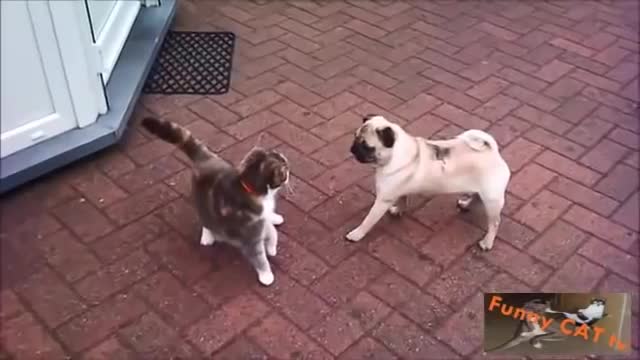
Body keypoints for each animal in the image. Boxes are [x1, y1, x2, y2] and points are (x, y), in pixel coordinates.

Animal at [142, 116, 290, 286]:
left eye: (282, 158)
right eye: (284, 171)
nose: (288, 165)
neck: (252, 191)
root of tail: (206, 160)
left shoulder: (260, 221)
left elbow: (272, 232)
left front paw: (272, 247)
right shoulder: (250, 236)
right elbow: (259, 257)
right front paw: (266, 275)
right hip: (201, 203)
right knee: (206, 220)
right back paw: (208, 236)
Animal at [344, 115, 510, 250]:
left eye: (366, 147)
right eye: (354, 137)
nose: (352, 149)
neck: (393, 155)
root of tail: (493, 152)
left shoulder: (383, 200)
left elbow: (369, 220)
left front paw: (357, 234)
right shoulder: (400, 190)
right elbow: (403, 200)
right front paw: (398, 210)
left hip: (492, 200)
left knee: (495, 223)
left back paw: (487, 243)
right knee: (475, 195)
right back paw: (465, 203)